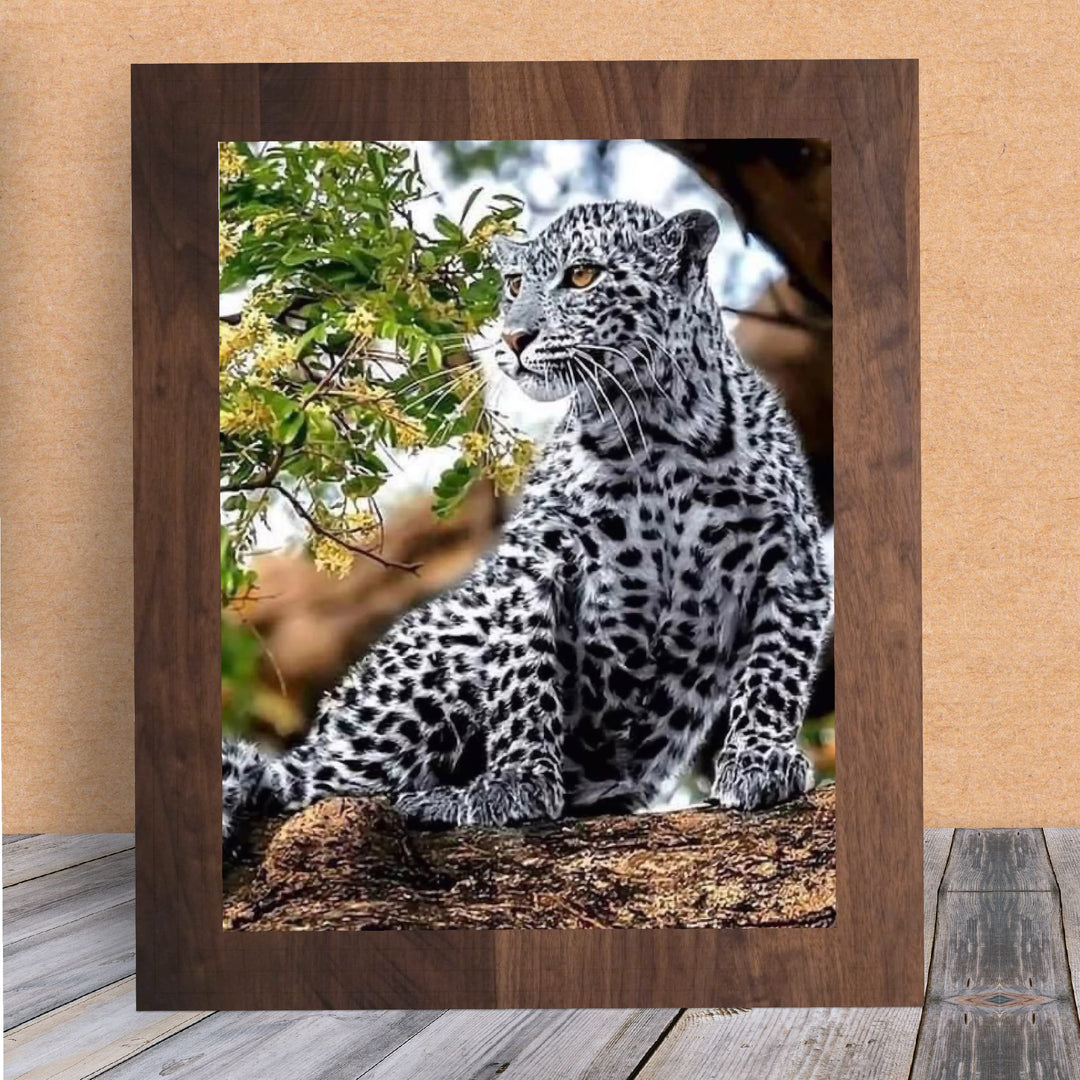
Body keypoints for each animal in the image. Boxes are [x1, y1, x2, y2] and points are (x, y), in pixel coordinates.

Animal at [222, 200, 833, 851]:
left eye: (583, 276)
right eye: (515, 284)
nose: (514, 338)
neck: (654, 428)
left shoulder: (793, 561)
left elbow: (777, 668)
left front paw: (760, 759)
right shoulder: (535, 559)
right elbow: (523, 672)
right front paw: (515, 783)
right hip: (435, 656)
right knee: (303, 789)